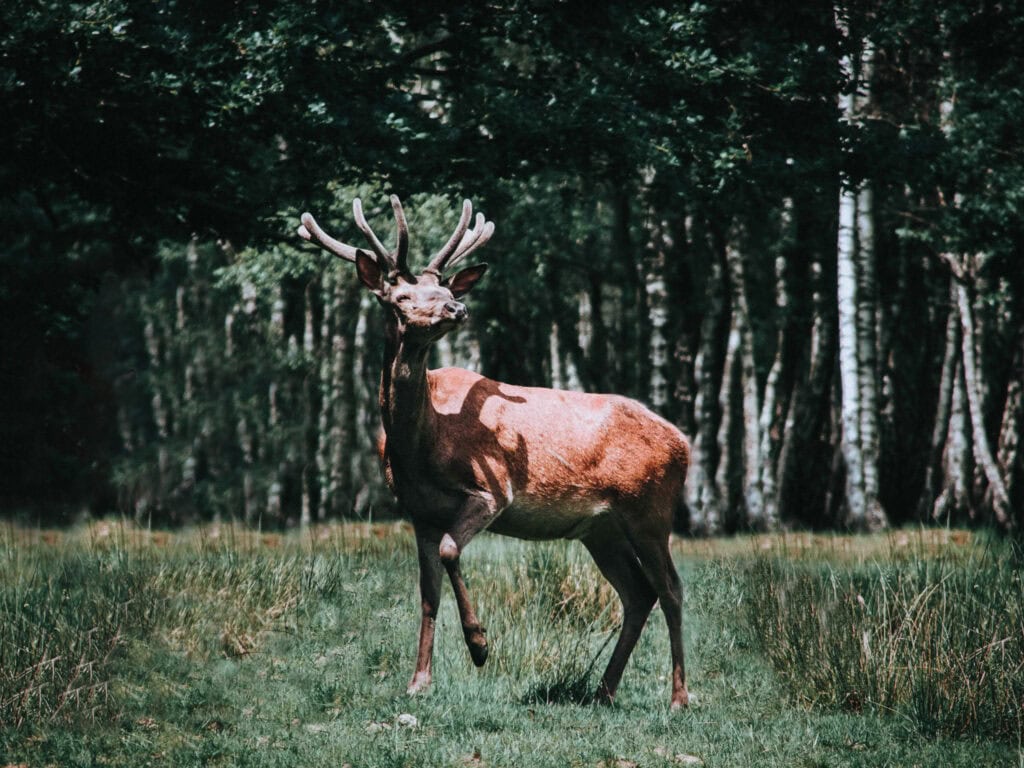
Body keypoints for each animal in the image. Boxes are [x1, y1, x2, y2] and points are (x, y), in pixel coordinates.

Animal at [297, 195, 691, 709]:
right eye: (400, 296)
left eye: (441, 286)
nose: (456, 306)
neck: (421, 446)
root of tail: (683, 443)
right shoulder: (419, 513)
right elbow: (427, 592)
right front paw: (418, 681)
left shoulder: (491, 491)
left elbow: (450, 551)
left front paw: (480, 647)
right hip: (600, 528)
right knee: (638, 593)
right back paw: (603, 690)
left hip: (650, 511)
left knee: (671, 588)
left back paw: (679, 697)